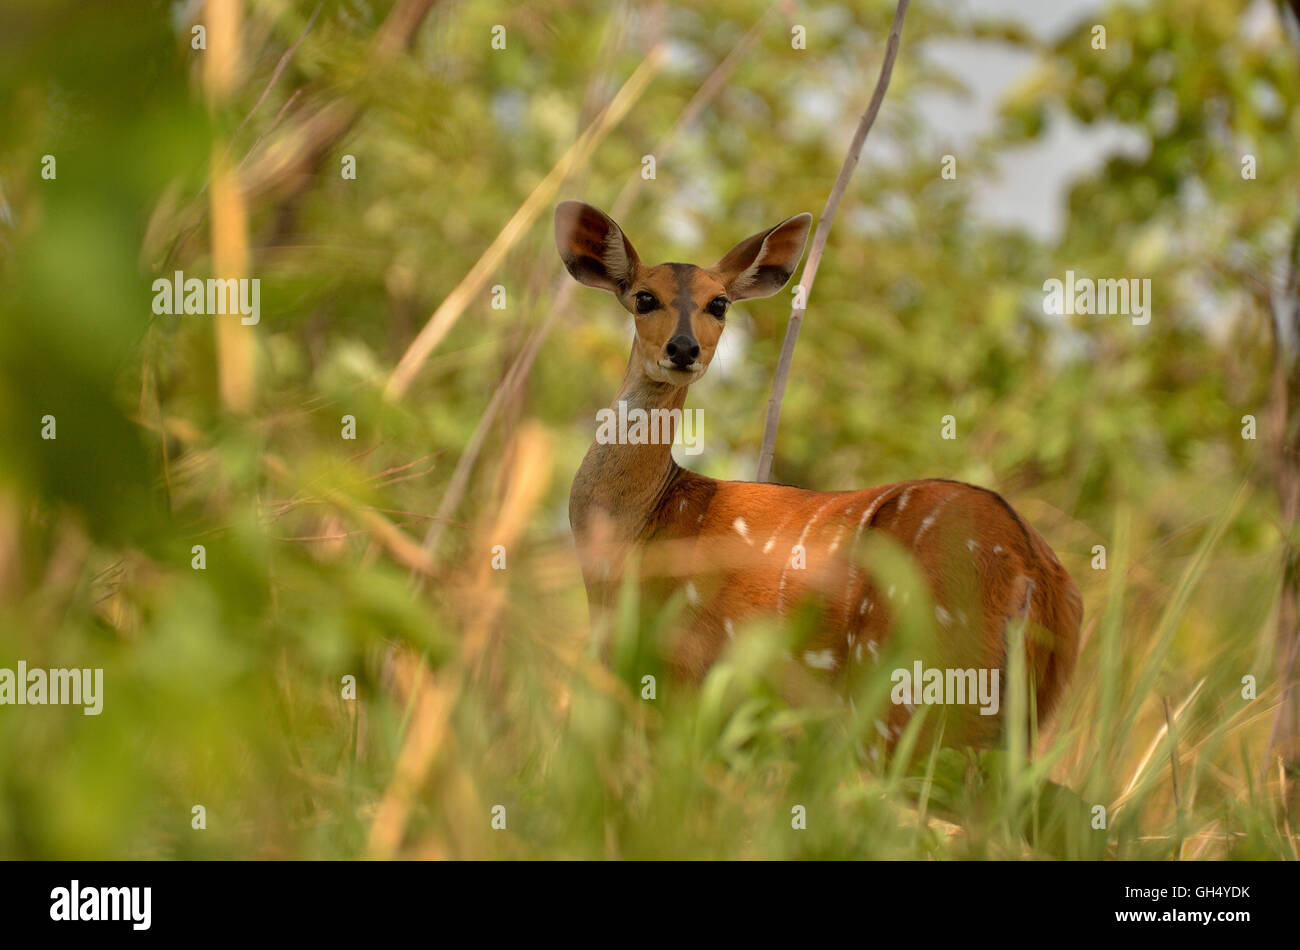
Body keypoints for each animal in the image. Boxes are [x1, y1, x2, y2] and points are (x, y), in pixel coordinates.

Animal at [553, 204, 1081, 748]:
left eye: (719, 304)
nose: (683, 348)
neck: (638, 526)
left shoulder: (676, 674)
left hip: (906, 685)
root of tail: (1031, 573)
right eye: (644, 297)